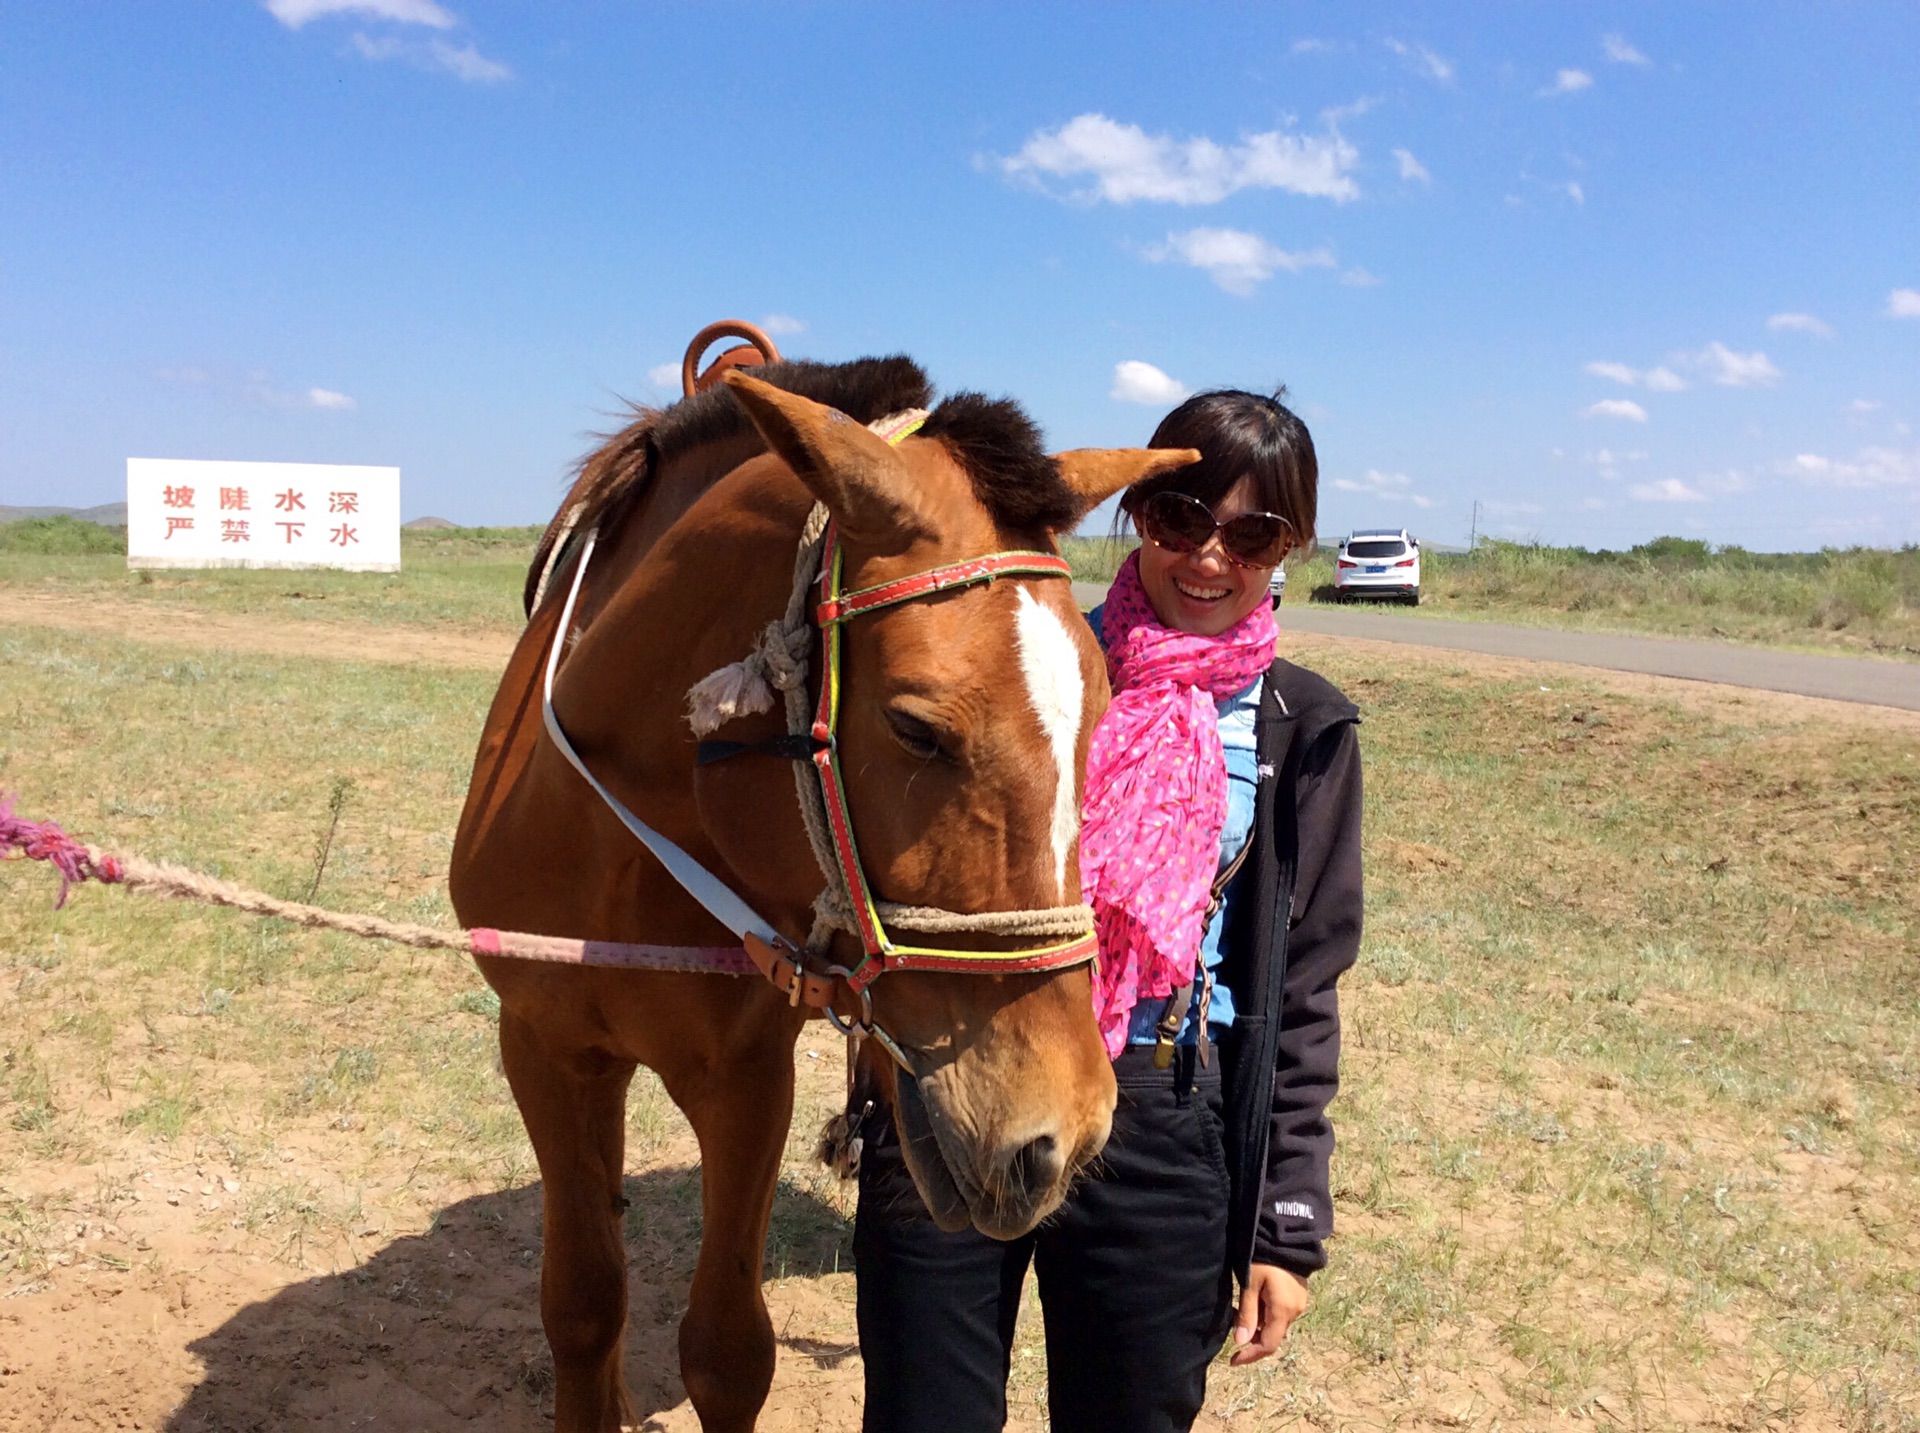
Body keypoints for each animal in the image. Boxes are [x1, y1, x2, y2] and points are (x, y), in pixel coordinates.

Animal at [451, 349, 1190, 1429]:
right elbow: (584, 1306)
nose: (1066, 1129)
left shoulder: (748, 1077)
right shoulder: (545, 1048)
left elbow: (725, 1351)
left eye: (1101, 706)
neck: (618, 853)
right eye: (916, 727)